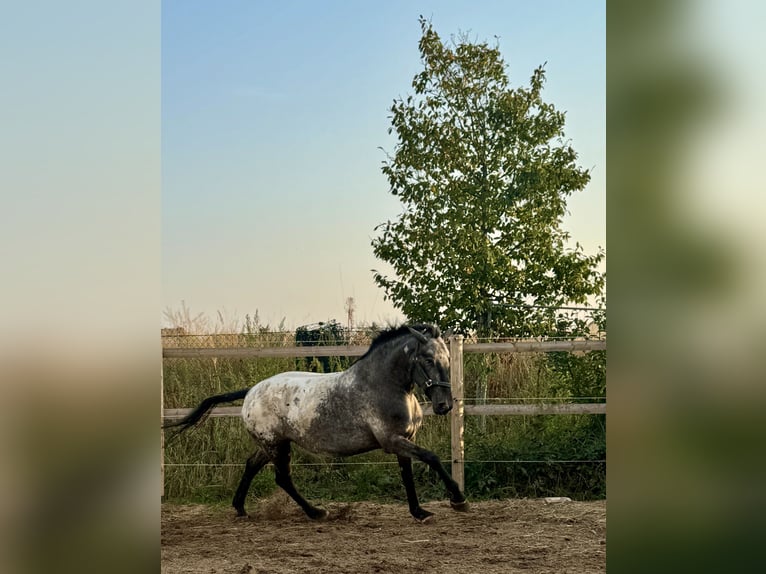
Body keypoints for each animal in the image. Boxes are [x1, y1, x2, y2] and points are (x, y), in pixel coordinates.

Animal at [165, 326, 472, 524]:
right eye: (428, 359)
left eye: (447, 359)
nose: (445, 405)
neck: (383, 385)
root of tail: (251, 391)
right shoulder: (392, 440)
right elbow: (432, 458)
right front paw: (458, 500)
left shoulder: (402, 439)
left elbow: (407, 475)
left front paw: (419, 512)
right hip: (277, 446)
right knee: (282, 478)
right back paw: (316, 513)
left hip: (272, 444)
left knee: (251, 464)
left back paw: (240, 508)